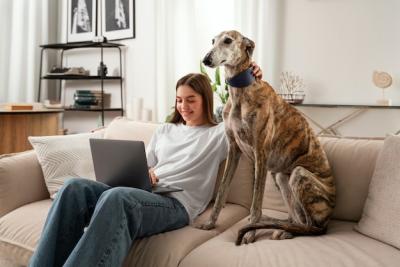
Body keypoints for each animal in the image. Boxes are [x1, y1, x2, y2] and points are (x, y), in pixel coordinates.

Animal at [195, 30, 336, 246]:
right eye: (213, 41)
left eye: (228, 40)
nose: (206, 59)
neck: (240, 93)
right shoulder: (234, 150)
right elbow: (222, 190)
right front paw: (210, 223)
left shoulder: (260, 153)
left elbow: (256, 202)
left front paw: (250, 234)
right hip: (281, 177)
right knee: (297, 219)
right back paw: (281, 228)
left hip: (298, 175)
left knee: (312, 226)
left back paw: (283, 231)